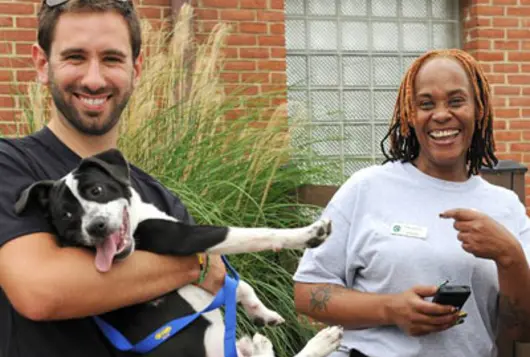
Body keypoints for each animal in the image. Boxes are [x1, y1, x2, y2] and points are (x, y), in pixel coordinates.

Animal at [16, 149, 342, 356]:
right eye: (67, 215)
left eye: (96, 191)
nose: (95, 227)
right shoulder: (184, 238)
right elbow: (252, 234)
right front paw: (307, 234)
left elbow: (240, 285)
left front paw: (261, 312)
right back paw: (319, 341)